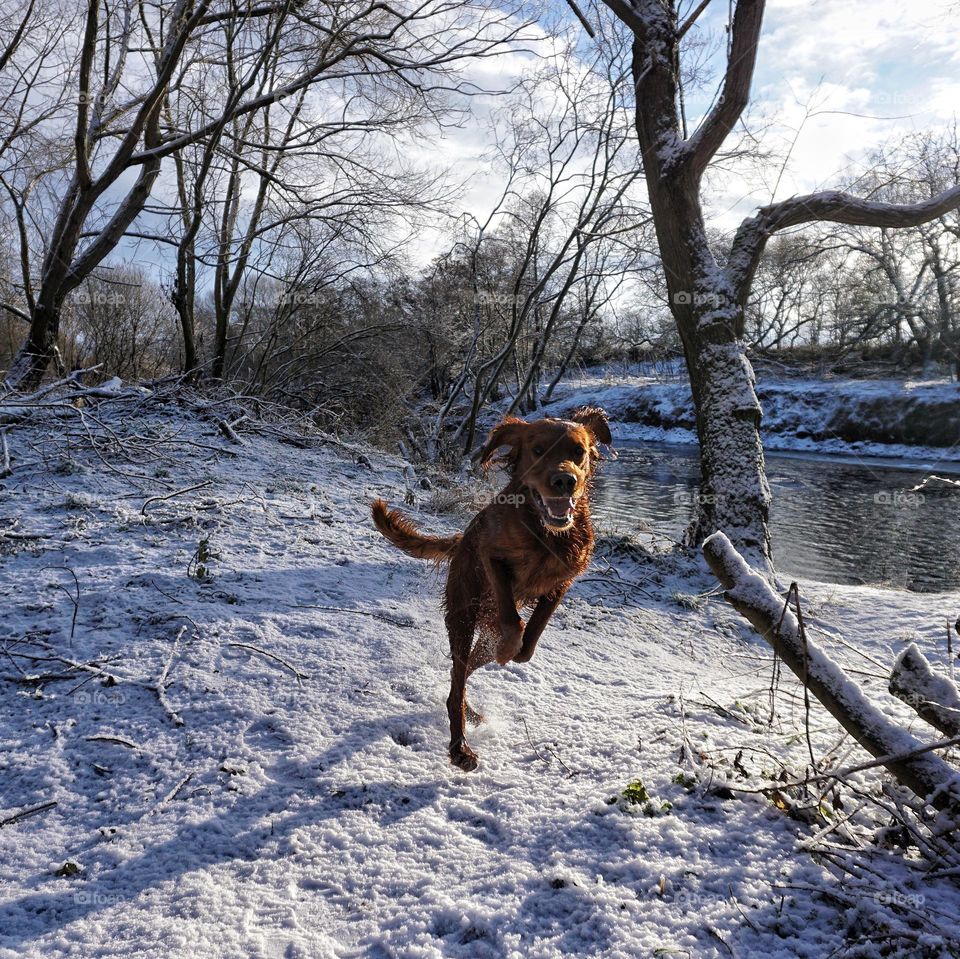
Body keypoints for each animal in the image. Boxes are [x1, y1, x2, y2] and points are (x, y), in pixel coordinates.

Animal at [372, 404, 612, 772]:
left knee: (465, 671)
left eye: (578, 452)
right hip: (463, 614)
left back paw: (471, 710)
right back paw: (460, 747)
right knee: (457, 678)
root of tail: (459, 539)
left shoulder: (562, 581)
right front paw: (508, 646)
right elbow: (513, 622)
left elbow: (531, 637)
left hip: (482, 633)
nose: (564, 481)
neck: (544, 533)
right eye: (538, 450)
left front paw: (518, 647)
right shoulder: (491, 557)